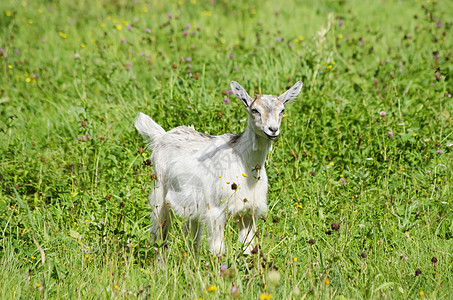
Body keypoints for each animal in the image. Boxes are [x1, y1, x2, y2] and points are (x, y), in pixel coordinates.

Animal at [135, 81, 304, 254]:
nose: (273, 130)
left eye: (282, 110)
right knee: (159, 232)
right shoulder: (216, 210)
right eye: (255, 110)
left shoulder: (249, 212)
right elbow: (218, 249)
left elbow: (247, 249)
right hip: (159, 190)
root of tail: (161, 136)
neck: (243, 162)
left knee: (192, 235)